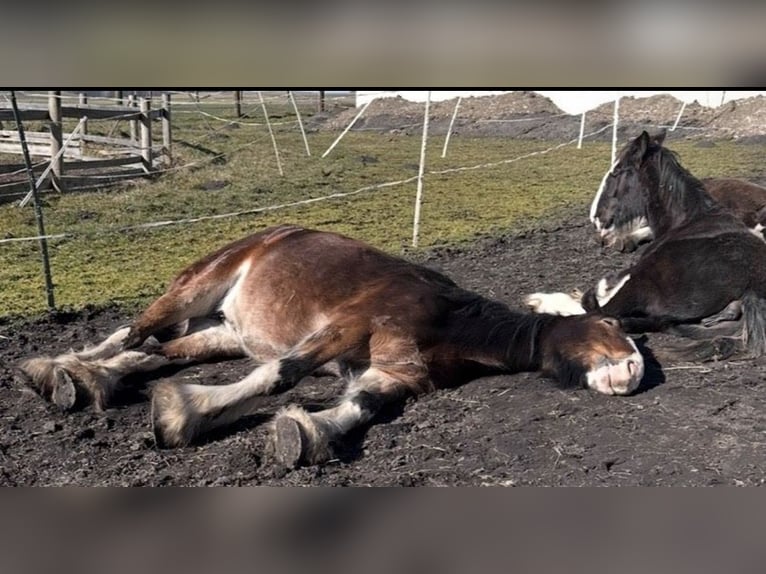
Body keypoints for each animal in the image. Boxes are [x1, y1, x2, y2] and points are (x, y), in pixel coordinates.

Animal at [16, 225, 644, 468]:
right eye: (614, 327)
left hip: (224, 333)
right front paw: (184, 412)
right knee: (131, 332)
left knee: (150, 353)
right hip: (193, 289)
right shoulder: (347, 328)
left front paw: (303, 431)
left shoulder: (399, 375)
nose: (633, 372)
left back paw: (86, 379)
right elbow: (280, 376)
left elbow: (359, 408)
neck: (446, 319)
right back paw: (57, 369)